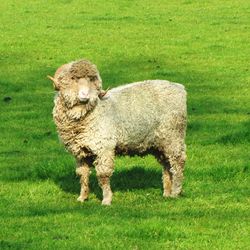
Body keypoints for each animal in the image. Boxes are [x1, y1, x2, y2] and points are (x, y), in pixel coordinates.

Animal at [47, 59, 187, 205]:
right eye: (73, 79)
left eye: (91, 79)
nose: (85, 95)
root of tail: (179, 88)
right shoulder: (80, 152)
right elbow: (83, 175)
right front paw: (82, 197)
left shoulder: (103, 147)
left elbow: (103, 175)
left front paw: (106, 200)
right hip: (159, 143)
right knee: (167, 165)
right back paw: (167, 193)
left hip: (173, 136)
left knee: (178, 162)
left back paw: (176, 191)